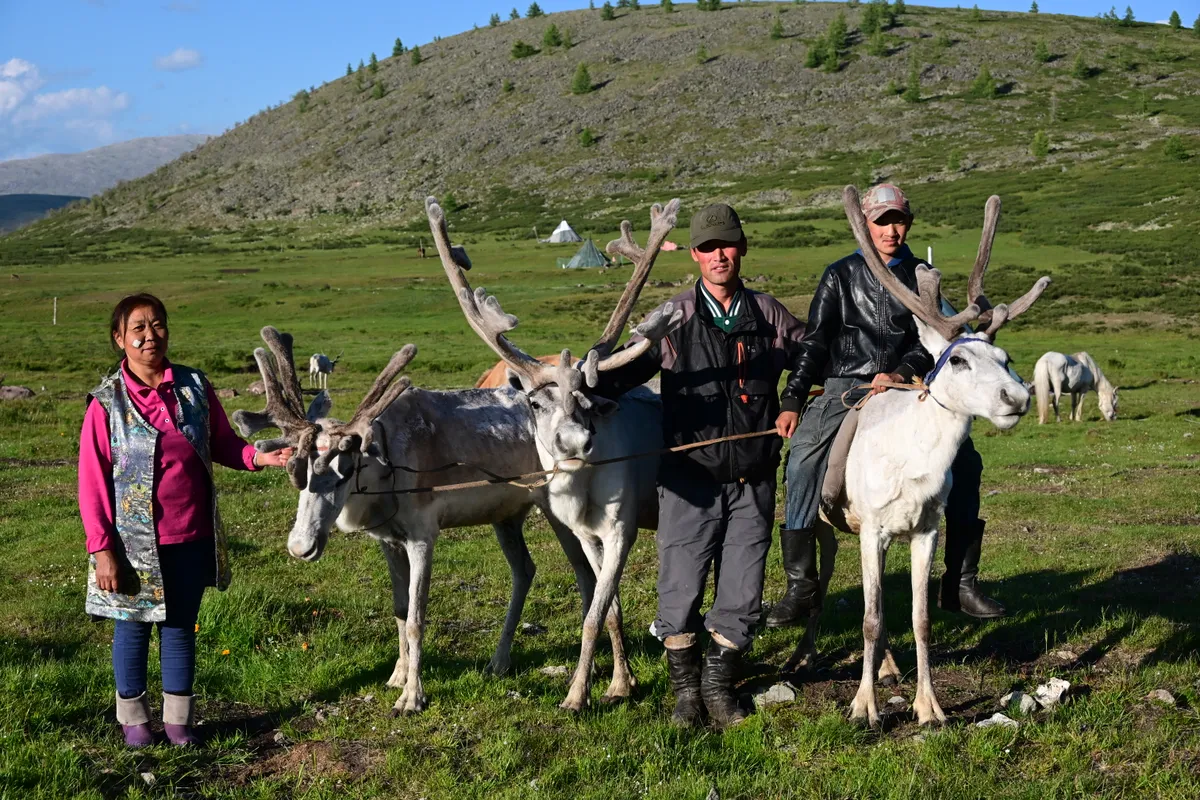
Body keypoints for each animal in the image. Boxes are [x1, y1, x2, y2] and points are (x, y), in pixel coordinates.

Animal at [233, 326, 622, 716]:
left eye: (347, 470)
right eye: (295, 471)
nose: (301, 546)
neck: (386, 474)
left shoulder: (422, 534)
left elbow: (417, 619)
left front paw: (411, 696)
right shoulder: (388, 540)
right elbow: (400, 610)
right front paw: (397, 675)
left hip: (554, 510)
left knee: (585, 574)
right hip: (505, 516)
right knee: (524, 569)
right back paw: (499, 661)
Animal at [427, 195, 682, 712]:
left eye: (587, 400)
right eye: (535, 402)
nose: (575, 442)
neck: (582, 491)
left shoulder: (622, 527)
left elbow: (594, 613)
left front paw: (577, 695)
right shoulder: (586, 533)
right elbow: (607, 608)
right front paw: (621, 682)